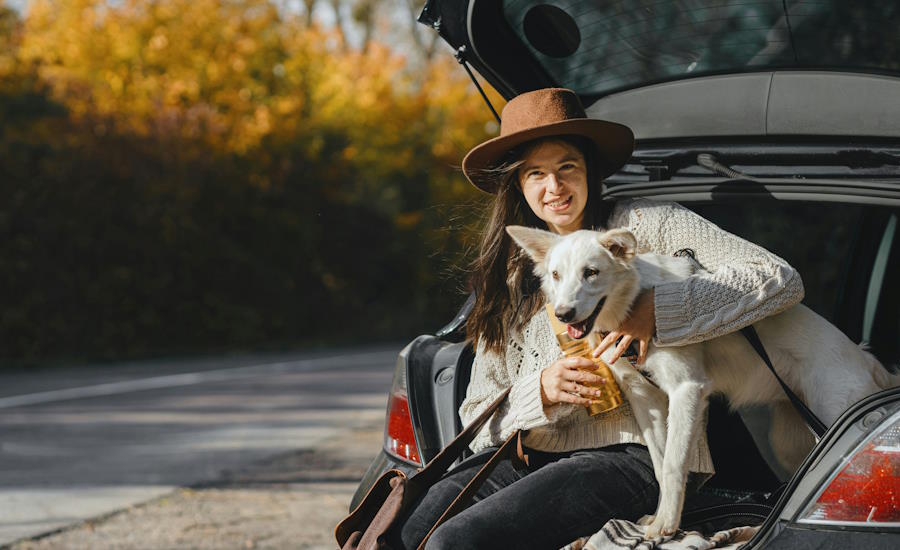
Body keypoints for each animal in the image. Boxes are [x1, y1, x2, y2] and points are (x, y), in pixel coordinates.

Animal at [502, 224, 896, 540]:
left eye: (591, 272)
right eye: (556, 275)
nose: (564, 313)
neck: (633, 301)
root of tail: (866, 358)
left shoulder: (686, 391)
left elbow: (675, 464)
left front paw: (666, 527)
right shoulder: (646, 401)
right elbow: (660, 465)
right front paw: (661, 518)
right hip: (787, 441)